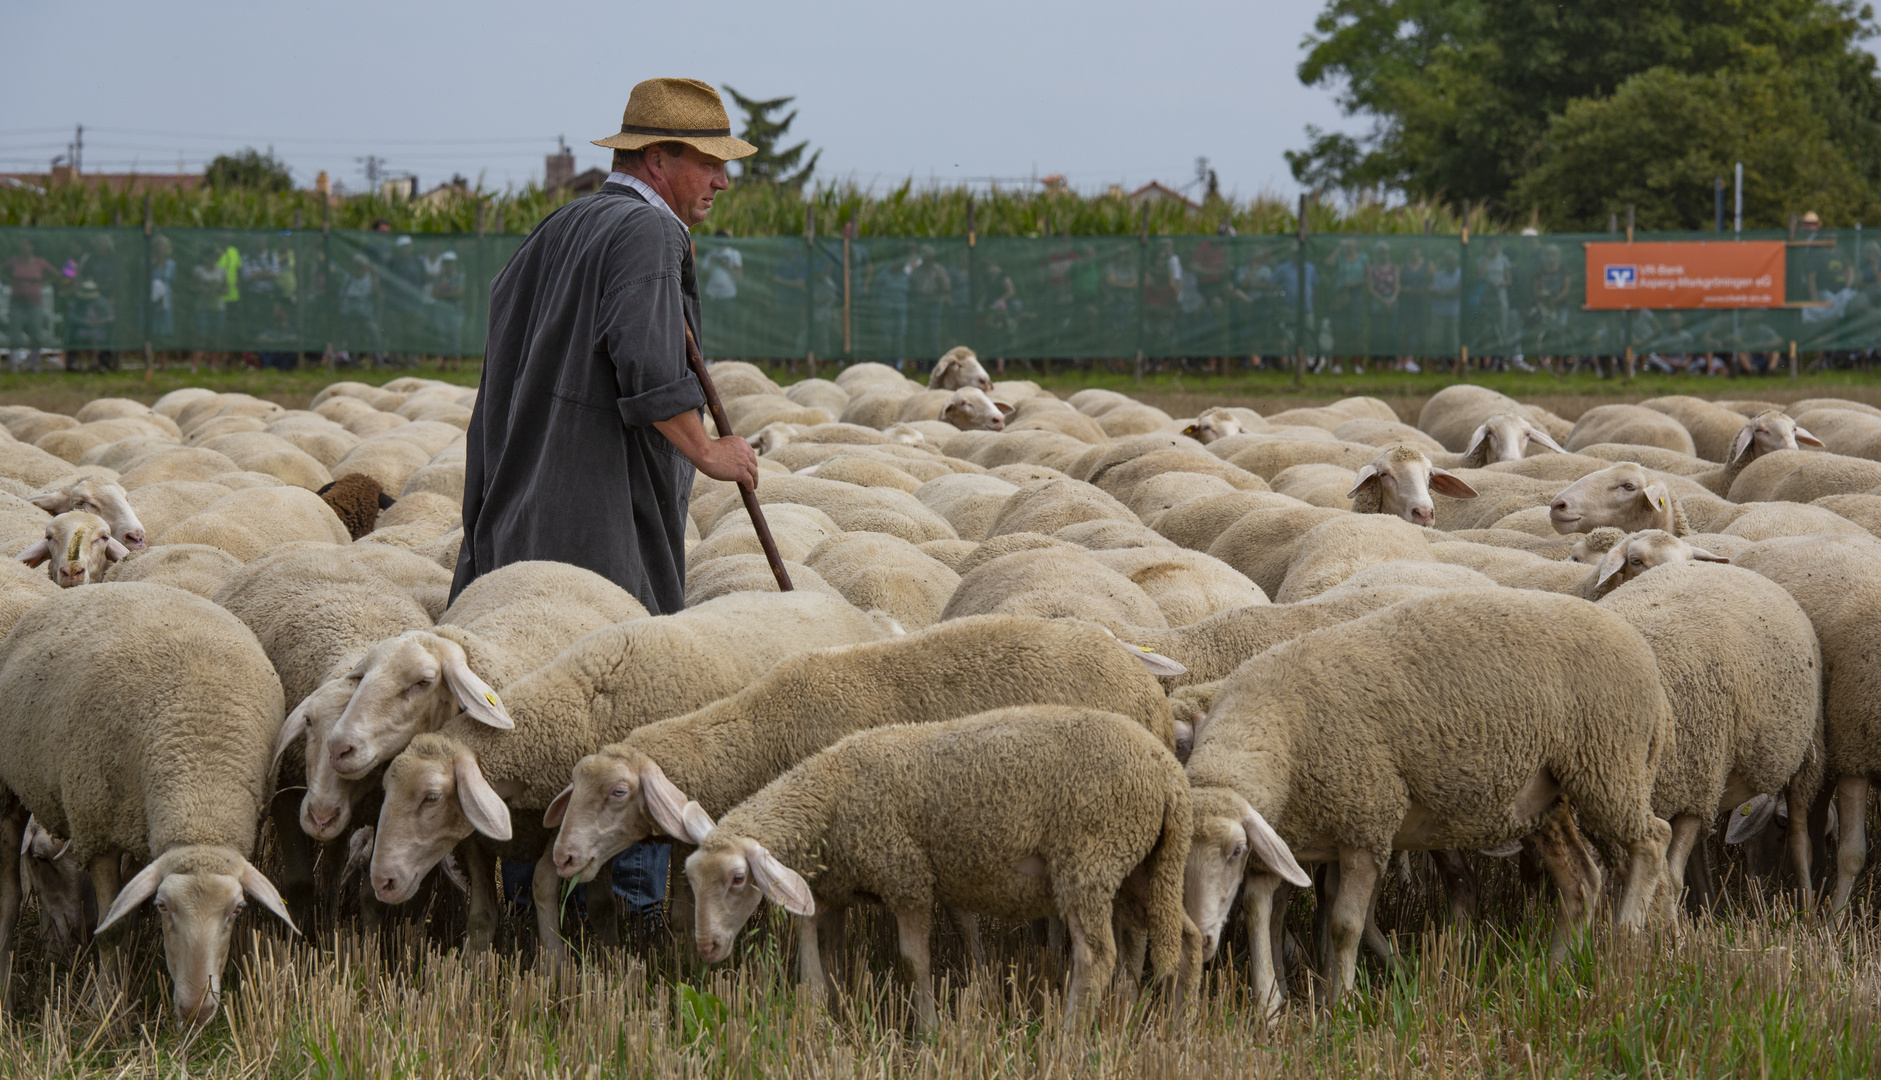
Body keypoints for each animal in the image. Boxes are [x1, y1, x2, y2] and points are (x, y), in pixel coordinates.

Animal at [0, 587, 293, 1031]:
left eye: (238, 910)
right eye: (164, 906)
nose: (195, 1012)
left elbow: (126, 917)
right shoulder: (97, 830)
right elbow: (111, 930)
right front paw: (106, 1011)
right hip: (11, 787)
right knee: (9, 897)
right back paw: (6, 996)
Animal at [684, 707, 1188, 1031]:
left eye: (737, 878)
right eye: (690, 879)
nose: (706, 947)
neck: (828, 797)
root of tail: (1168, 774)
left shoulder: (906, 878)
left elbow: (913, 962)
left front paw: (928, 1030)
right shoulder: (827, 889)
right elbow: (814, 969)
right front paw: (819, 1022)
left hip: (1089, 861)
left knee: (1097, 955)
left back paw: (1069, 1036)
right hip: (1142, 869)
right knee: (1169, 938)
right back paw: (1153, 1018)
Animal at [1181, 587, 1670, 1008]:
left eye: (1235, 850)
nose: (1200, 940)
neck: (1277, 724)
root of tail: (1640, 648)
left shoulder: (1366, 827)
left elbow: (1344, 925)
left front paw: (1341, 1003)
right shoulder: (1285, 839)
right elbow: (1258, 910)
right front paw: (1270, 1004)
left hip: (1611, 765)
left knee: (1653, 840)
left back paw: (1625, 939)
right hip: (1545, 800)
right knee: (1581, 881)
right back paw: (1554, 973)